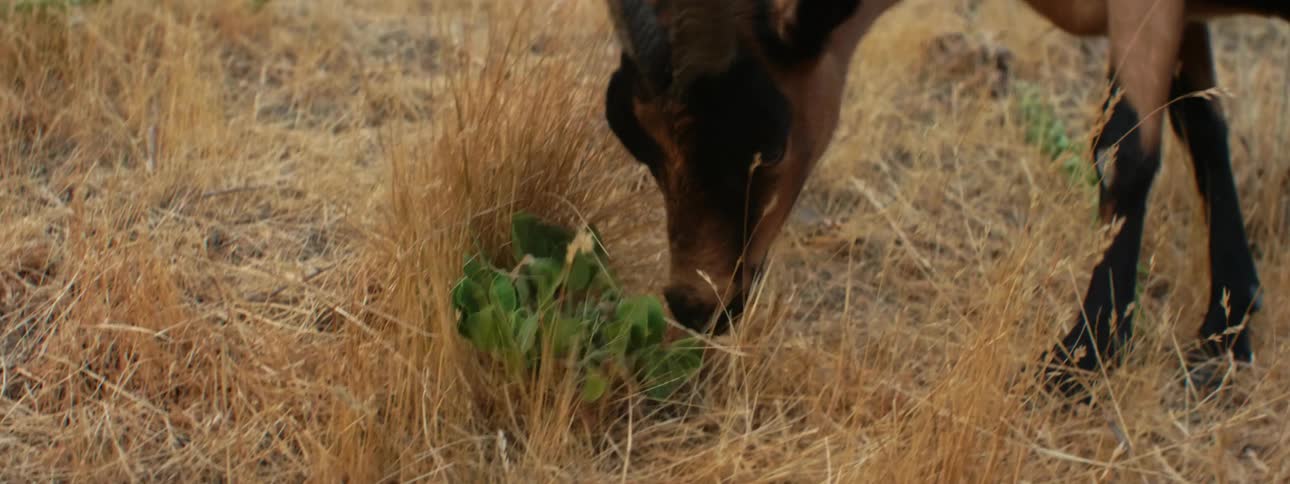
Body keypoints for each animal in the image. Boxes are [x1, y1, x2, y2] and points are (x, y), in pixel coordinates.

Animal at [602, 0, 1288, 399]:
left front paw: (1080, 360)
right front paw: (1227, 323)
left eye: (767, 145)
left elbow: (1124, 150)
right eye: (634, 136)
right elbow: (1202, 123)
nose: (696, 302)